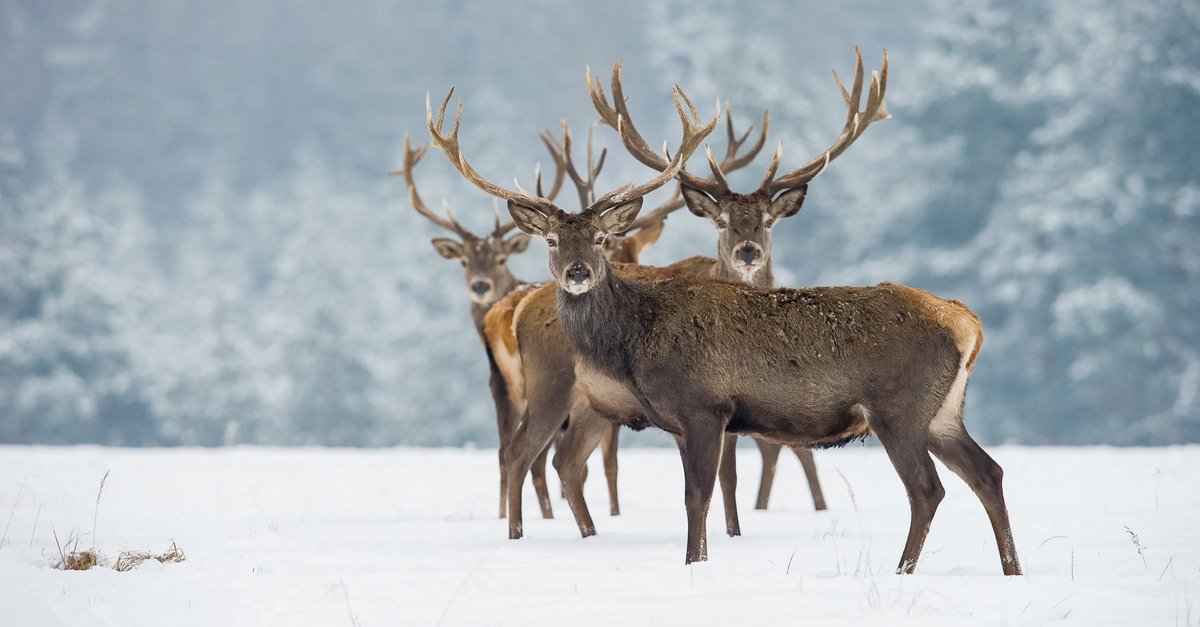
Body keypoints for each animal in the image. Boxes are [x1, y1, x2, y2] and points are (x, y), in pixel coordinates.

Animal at [484, 105, 768, 523]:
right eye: (551, 240)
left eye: (600, 238)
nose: (578, 272)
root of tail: (517, 311)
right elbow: (724, 473)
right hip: (552, 385)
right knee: (525, 453)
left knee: (550, 458)